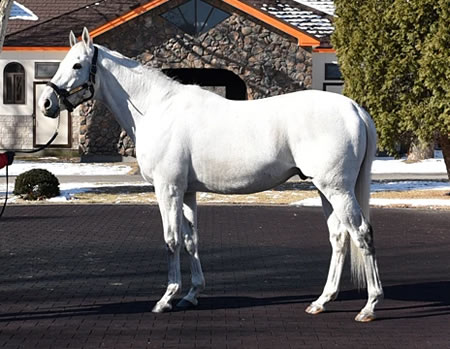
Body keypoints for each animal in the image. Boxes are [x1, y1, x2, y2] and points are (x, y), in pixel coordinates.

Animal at [39, 29, 384, 320]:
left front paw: (166, 299)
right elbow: (191, 240)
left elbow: (171, 240)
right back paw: (322, 301)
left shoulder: (168, 189)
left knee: (362, 233)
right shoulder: (187, 191)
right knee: (339, 237)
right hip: (325, 189)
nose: (46, 103)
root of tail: (355, 109)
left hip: (337, 188)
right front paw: (191, 295)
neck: (157, 110)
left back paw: (369, 306)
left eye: (77, 65)